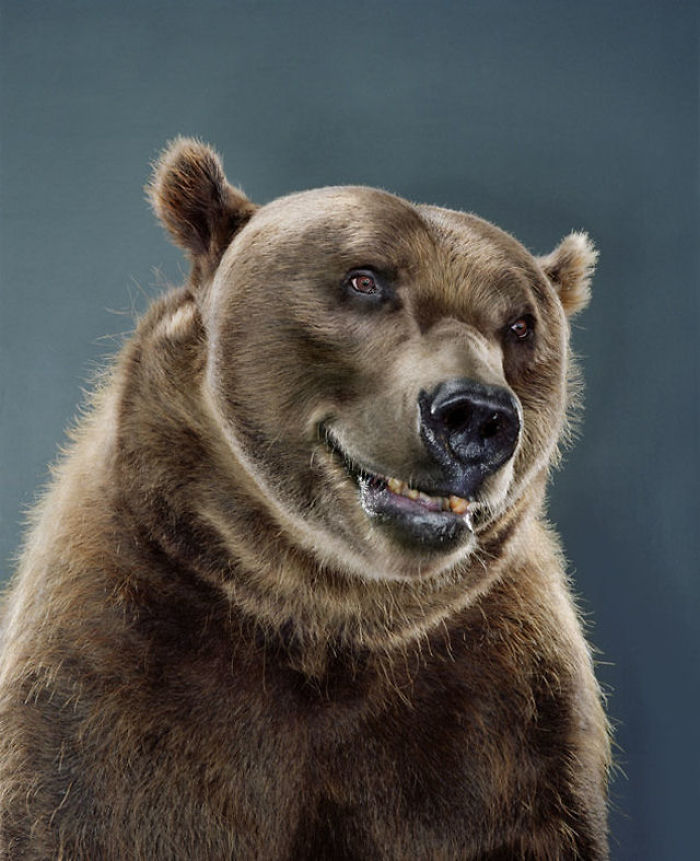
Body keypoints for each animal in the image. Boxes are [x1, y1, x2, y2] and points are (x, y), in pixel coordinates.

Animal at [0, 138, 610, 859]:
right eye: (365, 279)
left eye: (519, 324)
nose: (477, 416)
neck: (322, 607)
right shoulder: (106, 687)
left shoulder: (505, 727)